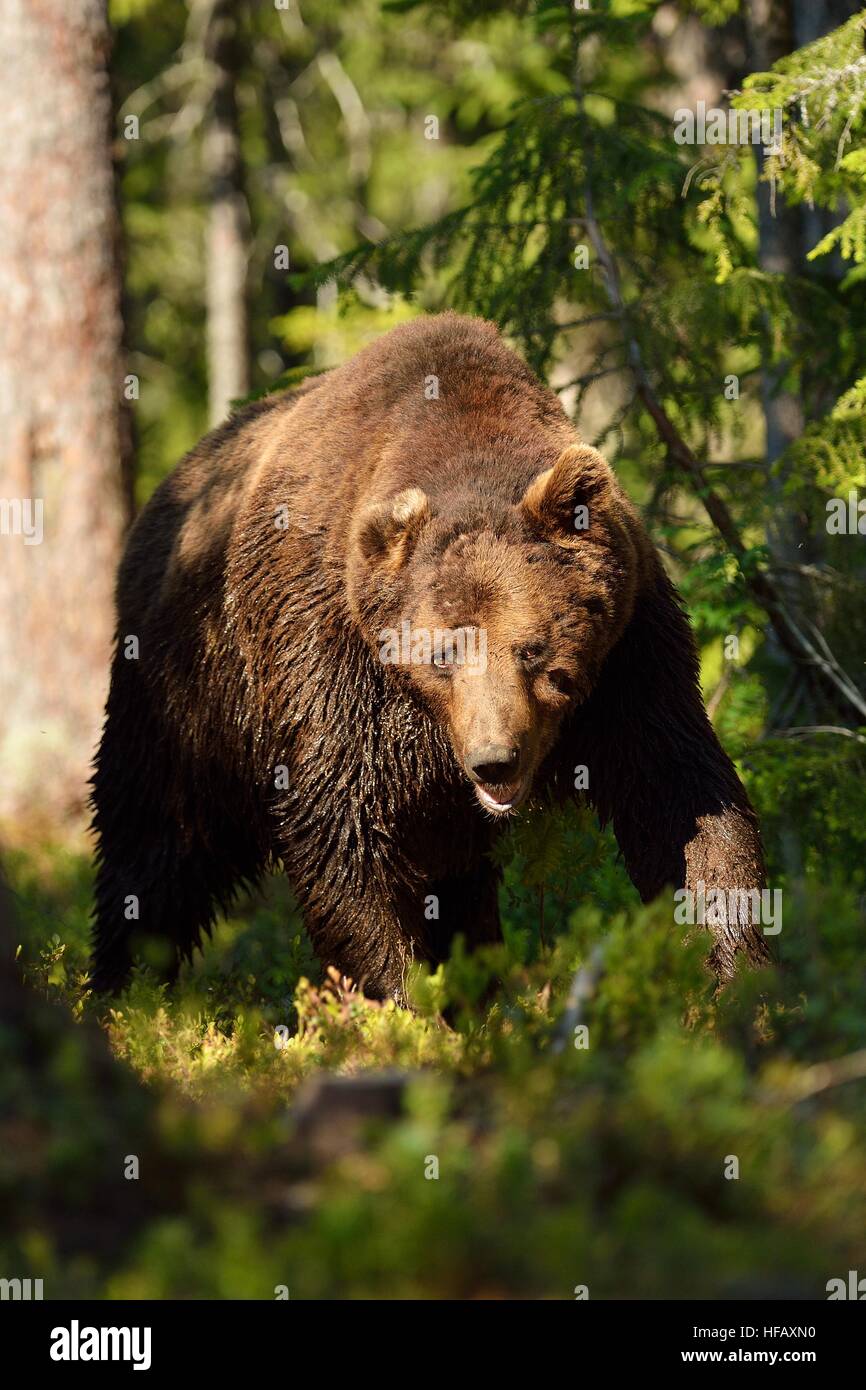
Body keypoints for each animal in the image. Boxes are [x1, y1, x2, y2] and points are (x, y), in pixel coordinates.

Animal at [89, 312, 768, 1002]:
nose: (495, 760)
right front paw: (398, 995)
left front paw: (733, 968)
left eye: (533, 648)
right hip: (189, 697)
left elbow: (680, 792)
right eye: (443, 653)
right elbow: (343, 837)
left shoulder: (629, 657)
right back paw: (126, 988)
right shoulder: (334, 667)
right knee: (154, 845)